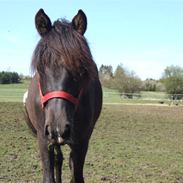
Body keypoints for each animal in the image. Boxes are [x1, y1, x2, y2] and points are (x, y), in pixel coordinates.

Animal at [23, 8, 102, 183]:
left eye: (82, 69)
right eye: (39, 67)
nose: (58, 128)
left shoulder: (82, 141)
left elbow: (76, 174)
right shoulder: (43, 139)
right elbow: (49, 172)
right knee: (58, 160)